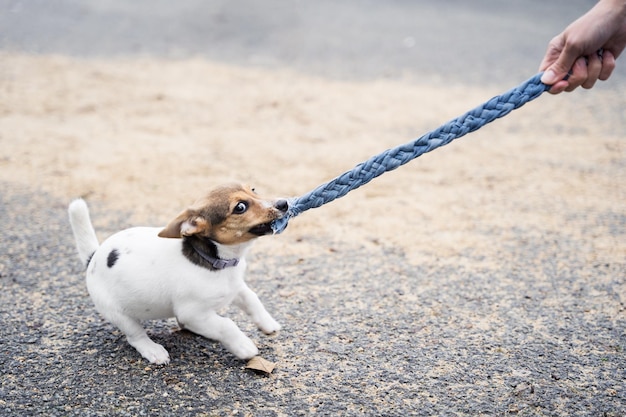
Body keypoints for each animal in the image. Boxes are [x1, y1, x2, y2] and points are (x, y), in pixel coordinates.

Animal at [67, 184, 286, 362]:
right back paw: (152, 350)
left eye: (253, 189)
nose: (284, 203)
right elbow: (227, 325)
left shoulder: (236, 288)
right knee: (135, 336)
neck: (217, 260)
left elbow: (252, 299)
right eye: (240, 207)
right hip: (119, 314)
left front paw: (268, 323)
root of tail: (94, 257)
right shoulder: (194, 313)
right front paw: (244, 346)